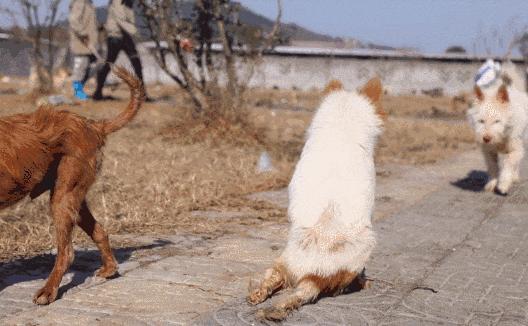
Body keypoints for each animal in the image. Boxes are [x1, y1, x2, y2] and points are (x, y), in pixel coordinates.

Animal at [0, 67, 144, 306]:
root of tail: (92, 124)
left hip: (63, 197)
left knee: (66, 251)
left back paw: (48, 291)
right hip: (73, 198)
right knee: (100, 231)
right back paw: (109, 269)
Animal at [248, 78, 384, 320]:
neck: (341, 129)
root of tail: (313, 273)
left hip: (283, 261)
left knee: (273, 277)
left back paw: (259, 297)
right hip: (366, 245)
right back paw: (358, 284)